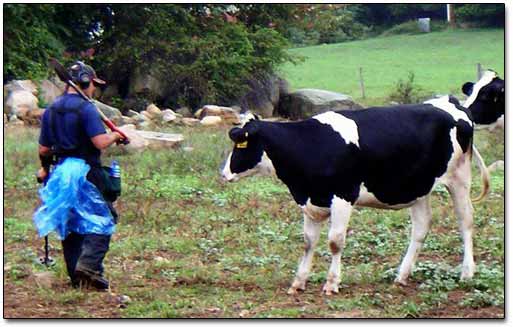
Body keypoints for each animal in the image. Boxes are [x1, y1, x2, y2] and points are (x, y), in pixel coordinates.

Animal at [220, 72, 504, 298]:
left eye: (241, 144)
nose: (223, 174)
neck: (310, 145)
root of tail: (453, 105)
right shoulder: (310, 199)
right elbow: (308, 242)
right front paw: (298, 282)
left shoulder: (343, 196)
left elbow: (335, 242)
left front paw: (331, 283)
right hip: (419, 186)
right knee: (421, 227)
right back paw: (402, 276)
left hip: (459, 178)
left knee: (465, 221)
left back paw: (466, 272)